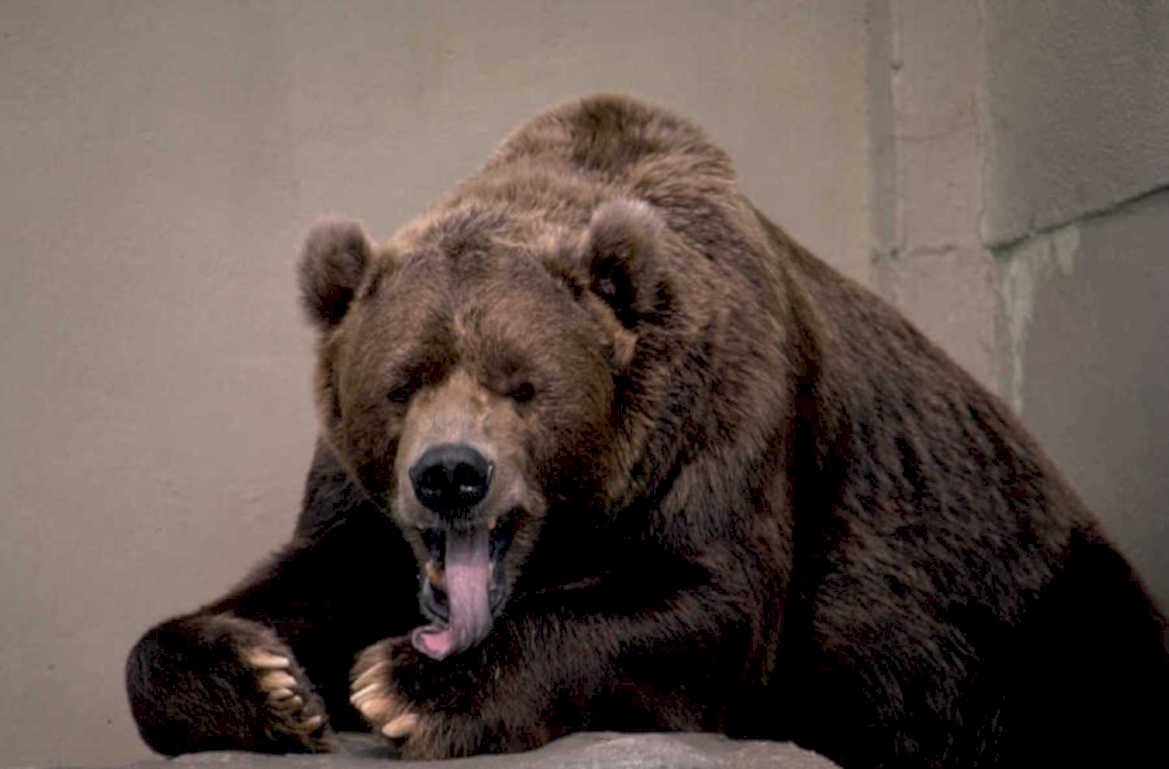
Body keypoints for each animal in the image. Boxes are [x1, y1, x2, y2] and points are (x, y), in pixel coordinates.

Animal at [126, 95, 1169, 769]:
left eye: (523, 385)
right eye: (401, 382)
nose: (452, 474)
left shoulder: (724, 417)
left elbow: (702, 607)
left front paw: (413, 686)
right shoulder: (360, 509)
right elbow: (301, 580)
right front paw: (267, 680)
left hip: (1039, 603)